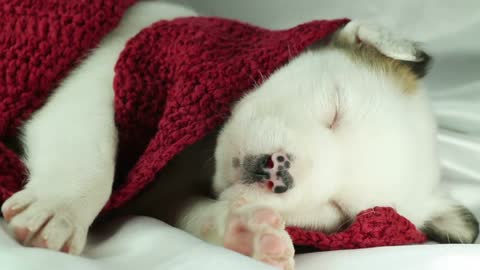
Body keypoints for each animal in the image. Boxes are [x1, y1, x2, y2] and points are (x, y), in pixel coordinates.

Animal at [0, 2, 478, 270]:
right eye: (334, 109)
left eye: (340, 209)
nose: (280, 173)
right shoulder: (117, 62)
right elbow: (89, 147)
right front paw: (61, 206)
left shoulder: (163, 194)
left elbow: (192, 211)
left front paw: (245, 232)